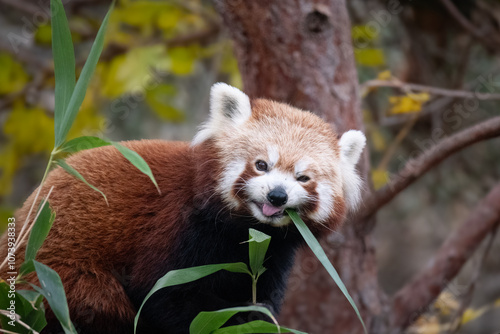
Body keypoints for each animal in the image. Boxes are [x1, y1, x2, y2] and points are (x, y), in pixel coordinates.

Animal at [0, 82, 368, 332]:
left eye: (303, 178)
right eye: (262, 165)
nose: (277, 196)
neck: (245, 230)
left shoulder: (272, 253)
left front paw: (258, 314)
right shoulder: (177, 225)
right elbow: (164, 294)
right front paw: (236, 318)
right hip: (53, 275)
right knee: (97, 301)